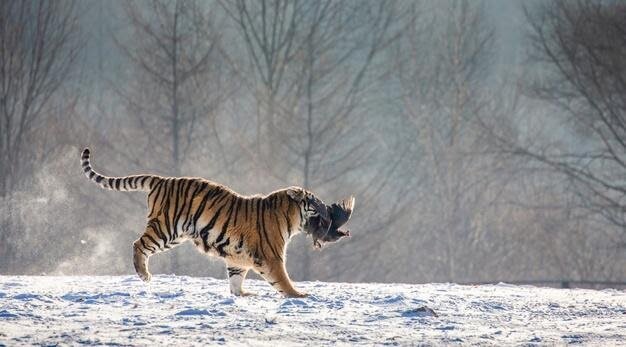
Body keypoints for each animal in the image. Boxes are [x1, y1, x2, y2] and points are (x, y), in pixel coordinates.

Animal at [78, 148, 352, 298]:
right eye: (314, 201)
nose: (329, 209)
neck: (291, 218)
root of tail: (162, 179)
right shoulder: (272, 257)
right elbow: (283, 280)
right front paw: (299, 295)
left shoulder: (238, 258)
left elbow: (235, 279)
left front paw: (242, 294)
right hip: (166, 228)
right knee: (138, 244)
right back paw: (144, 275)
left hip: (175, 234)